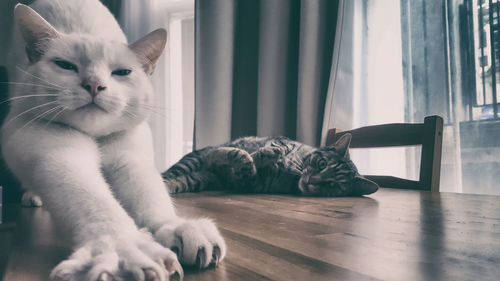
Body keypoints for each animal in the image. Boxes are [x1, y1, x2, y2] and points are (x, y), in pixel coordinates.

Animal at [0, 1, 226, 278]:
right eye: (65, 65)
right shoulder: (57, 153)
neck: (96, 137)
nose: (94, 84)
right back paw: (34, 197)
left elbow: (150, 197)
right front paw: (121, 251)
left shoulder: (129, 161)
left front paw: (175, 227)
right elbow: (96, 203)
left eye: (122, 72)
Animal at [163, 133, 378, 195]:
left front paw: (245, 157)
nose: (312, 181)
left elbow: (246, 165)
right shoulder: (283, 141)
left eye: (332, 185)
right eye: (322, 163)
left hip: (197, 179)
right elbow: (277, 148)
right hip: (191, 162)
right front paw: (256, 155)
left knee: (171, 182)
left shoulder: (248, 183)